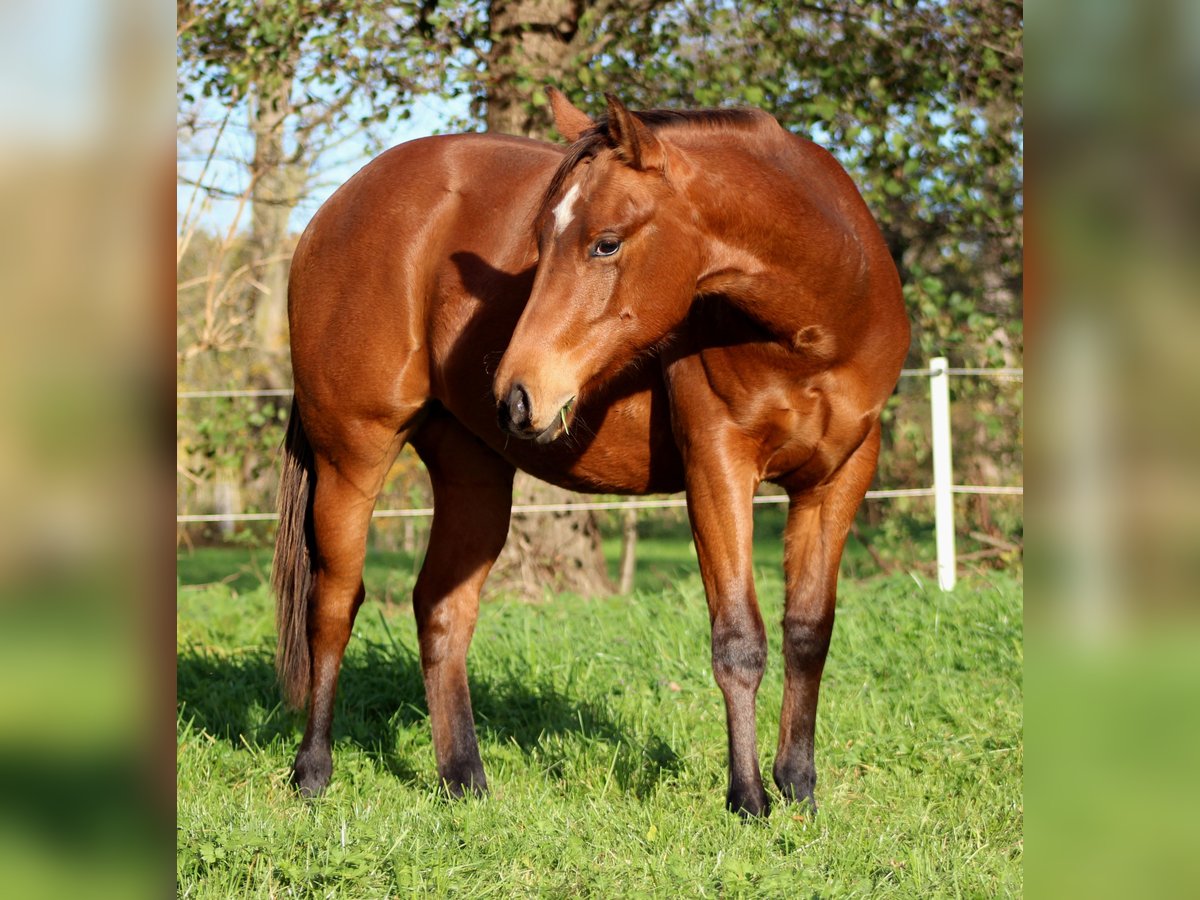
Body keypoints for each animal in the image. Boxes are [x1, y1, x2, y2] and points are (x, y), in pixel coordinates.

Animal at [272, 89, 909, 817]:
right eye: (540, 240)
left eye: (606, 243)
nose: (516, 393)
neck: (818, 320)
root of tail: (334, 209)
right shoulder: (718, 467)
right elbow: (739, 640)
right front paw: (748, 798)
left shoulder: (840, 478)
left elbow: (808, 632)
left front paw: (799, 788)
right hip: (352, 456)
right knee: (334, 603)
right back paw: (312, 772)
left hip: (472, 472)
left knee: (441, 609)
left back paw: (464, 781)